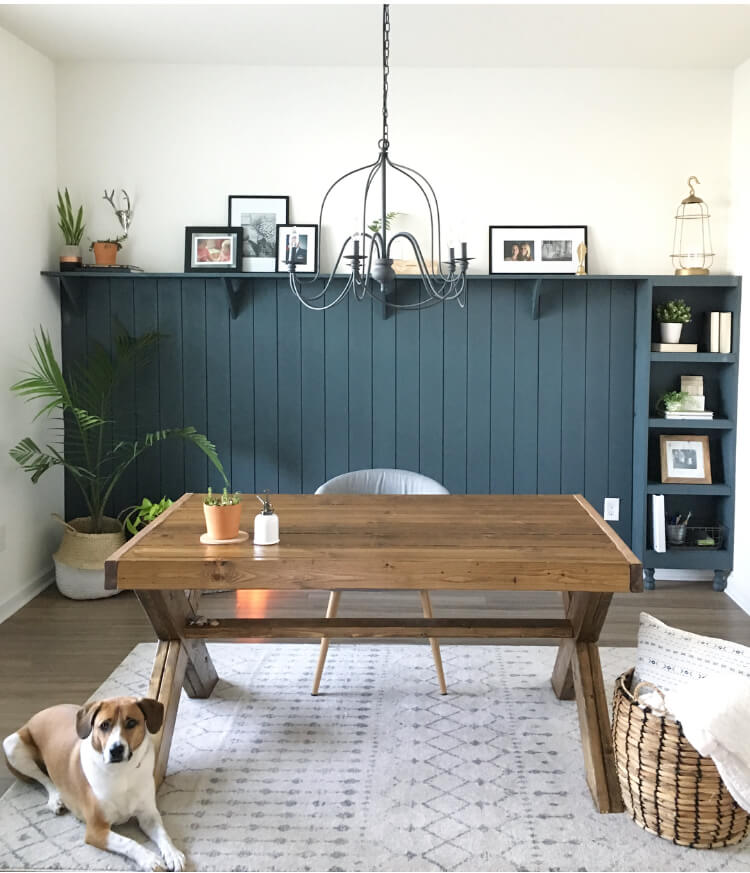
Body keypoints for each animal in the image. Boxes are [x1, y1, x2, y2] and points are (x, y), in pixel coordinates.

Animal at [2, 696, 185, 872]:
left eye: (131, 723)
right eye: (104, 725)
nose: (116, 749)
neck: (122, 771)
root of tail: (38, 714)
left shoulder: (148, 815)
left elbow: (163, 834)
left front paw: (173, 853)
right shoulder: (96, 830)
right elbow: (129, 842)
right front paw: (149, 859)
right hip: (12, 745)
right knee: (45, 779)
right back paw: (55, 799)